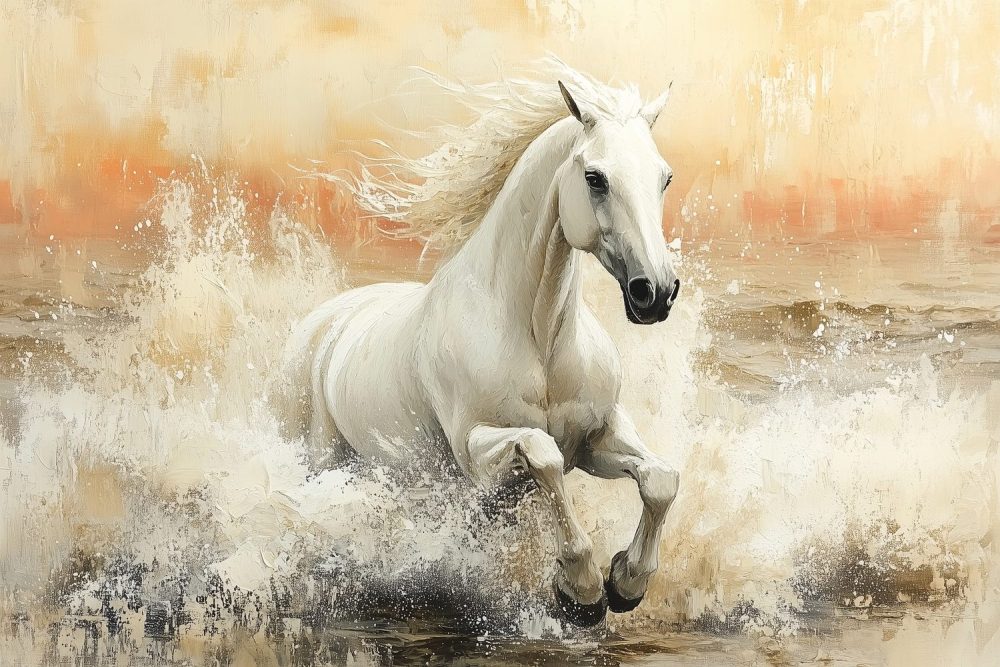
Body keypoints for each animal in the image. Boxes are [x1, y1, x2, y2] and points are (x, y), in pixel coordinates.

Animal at [283, 63, 681, 627]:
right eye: (595, 178)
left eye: (663, 177)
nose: (656, 293)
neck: (538, 339)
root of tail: (320, 325)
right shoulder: (478, 453)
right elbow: (542, 455)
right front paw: (580, 592)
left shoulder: (596, 438)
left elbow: (661, 479)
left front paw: (626, 582)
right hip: (320, 462)